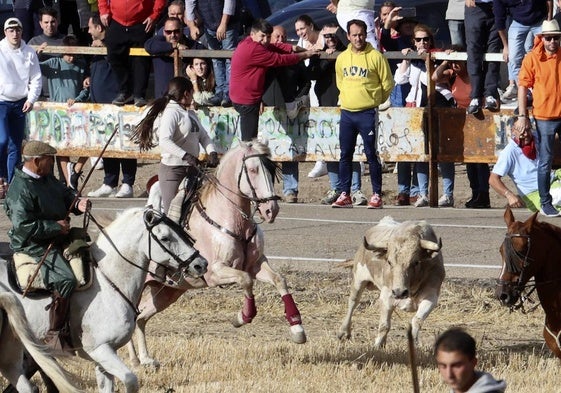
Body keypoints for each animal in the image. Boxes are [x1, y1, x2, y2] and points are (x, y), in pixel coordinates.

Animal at [0, 207, 208, 390]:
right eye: (165, 237)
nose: (201, 264)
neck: (109, 281)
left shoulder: (104, 357)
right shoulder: (100, 349)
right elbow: (131, 380)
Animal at [127, 141, 306, 368]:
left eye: (272, 170)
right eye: (253, 170)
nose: (270, 210)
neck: (233, 221)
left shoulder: (256, 264)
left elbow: (279, 279)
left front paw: (297, 329)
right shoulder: (214, 272)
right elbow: (246, 280)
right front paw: (242, 317)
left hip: (167, 292)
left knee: (140, 317)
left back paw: (145, 359)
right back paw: (133, 359)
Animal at [334, 216, 444, 348]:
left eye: (416, 262)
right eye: (389, 262)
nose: (399, 292)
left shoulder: (431, 297)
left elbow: (417, 321)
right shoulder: (387, 296)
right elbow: (384, 326)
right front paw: (376, 345)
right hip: (358, 279)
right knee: (353, 303)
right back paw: (344, 332)